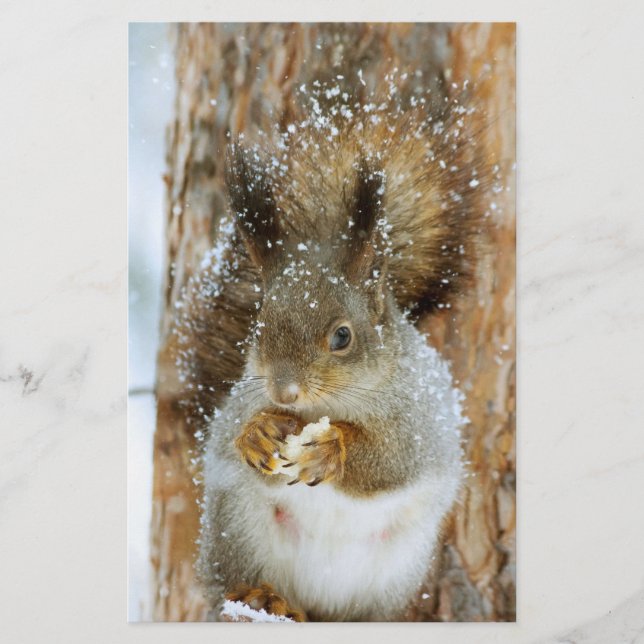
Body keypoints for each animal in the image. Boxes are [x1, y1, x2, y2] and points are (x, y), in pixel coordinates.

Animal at [175, 82, 491, 621]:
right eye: (258, 327)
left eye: (343, 336)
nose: (284, 392)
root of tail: (316, 604)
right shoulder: (238, 402)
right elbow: (229, 436)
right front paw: (257, 434)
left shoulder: (422, 421)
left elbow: (393, 459)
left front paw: (332, 448)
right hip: (236, 529)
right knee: (230, 585)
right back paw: (262, 596)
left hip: (394, 571)